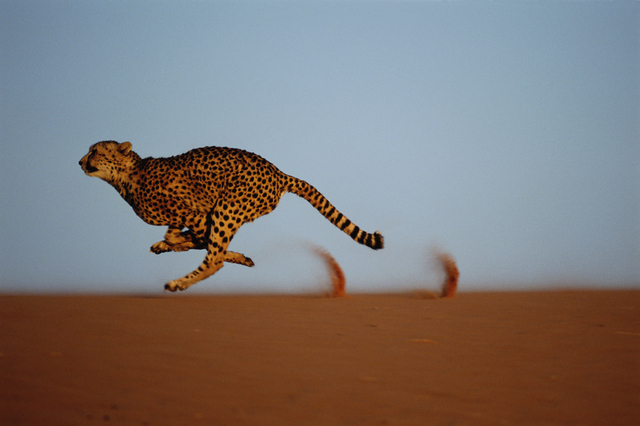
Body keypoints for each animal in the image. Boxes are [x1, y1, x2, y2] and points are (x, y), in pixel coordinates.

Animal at [77, 141, 382, 292]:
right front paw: (166, 244)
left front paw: (175, 244)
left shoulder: (198, 214)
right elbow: (178, 236)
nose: (80, 161)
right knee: (214, 251)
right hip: (229, 211)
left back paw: (178, 283)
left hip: (227, 208)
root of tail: (279, 172)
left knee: (214, 260)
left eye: (94, 151)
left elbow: (198, 241)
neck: (127, 176)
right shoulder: (193, 217)